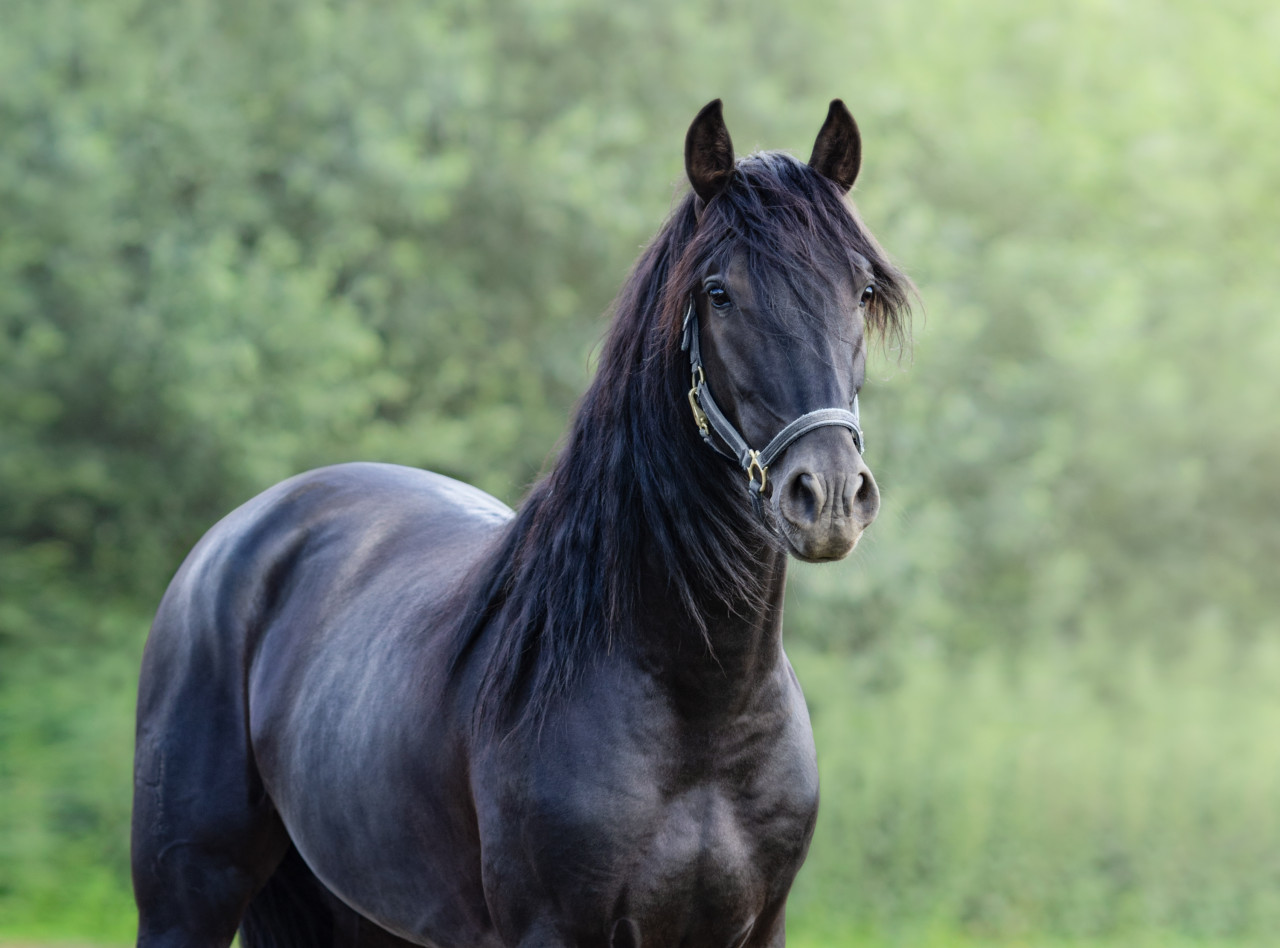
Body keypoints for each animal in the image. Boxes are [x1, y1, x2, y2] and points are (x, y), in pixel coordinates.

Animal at [129, 99, 911, 941]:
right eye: (719, 291)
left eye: (862, 289)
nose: (828, 496)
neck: (701, 709)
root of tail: (240, 534)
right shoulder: (551, 928)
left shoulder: (759, 928)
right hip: (187, 898)